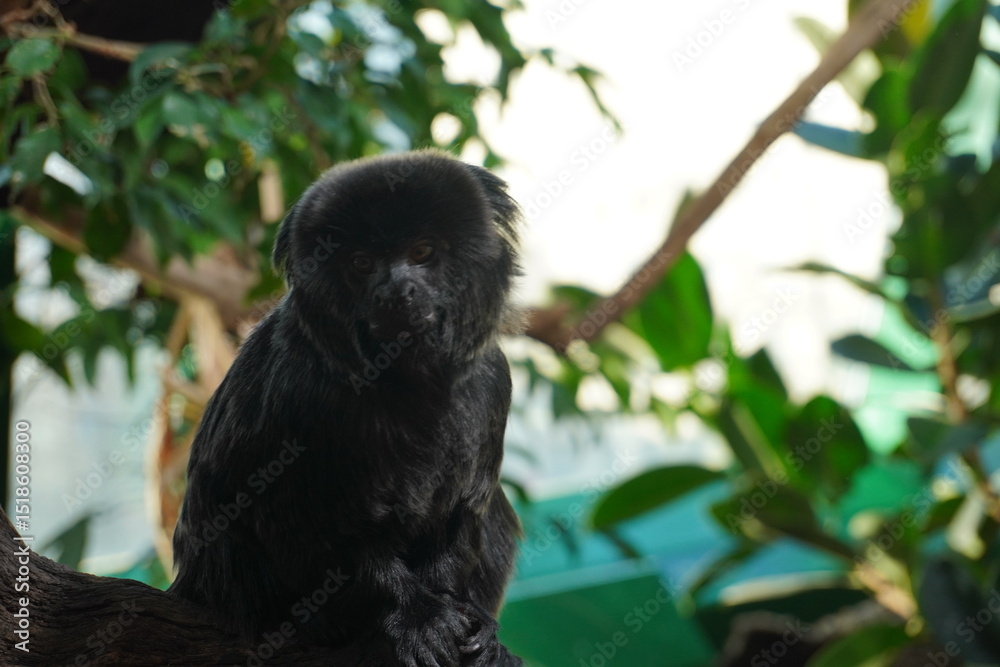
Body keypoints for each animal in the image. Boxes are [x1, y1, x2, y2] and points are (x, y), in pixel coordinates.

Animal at [168, 149, 524, 667]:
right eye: (362, 263)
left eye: (422, 253)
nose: (396, 290)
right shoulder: (302, 396)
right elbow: (295, 517)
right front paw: (416, 617)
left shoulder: (492, 386)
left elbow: (465, 510)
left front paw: (465, 618)